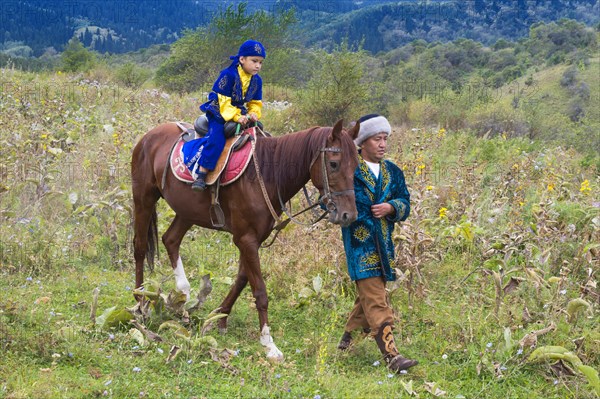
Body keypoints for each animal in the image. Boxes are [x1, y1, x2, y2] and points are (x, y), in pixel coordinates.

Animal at [131, 120, 358, 360]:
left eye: (355, 166)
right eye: (334, 164)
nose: (349, 215)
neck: (267, 175)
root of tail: (149, 136)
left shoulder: (252, 239)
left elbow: (241, 279)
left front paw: (219, 318)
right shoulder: (246, 239)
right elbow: (259, 290)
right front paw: (269, 343)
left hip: (187, 211)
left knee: (170, 240)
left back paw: (183, 298)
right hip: (144, 198)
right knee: (140, 247)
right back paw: (140, 301)